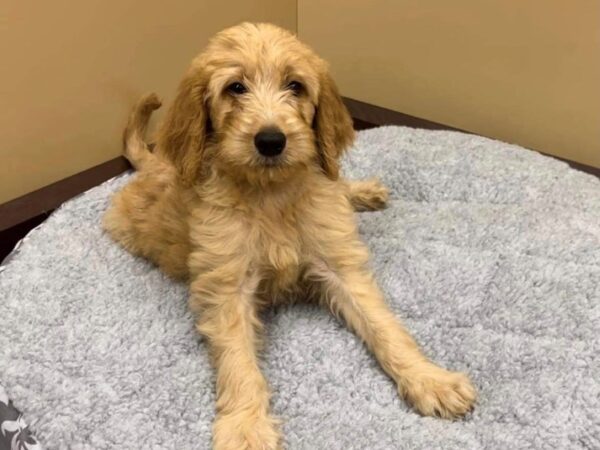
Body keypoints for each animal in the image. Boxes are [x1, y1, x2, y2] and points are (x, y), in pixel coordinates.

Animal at [104, 22, 478, 450]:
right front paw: (245, 428)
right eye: (235, 87)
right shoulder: (227, 286)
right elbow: (239, 361)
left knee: (338, 184)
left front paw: (430, 379)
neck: (271, 194)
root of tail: (154, 164)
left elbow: (384, 326)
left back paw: (362, 191)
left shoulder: (340, 265)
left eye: (295, 86)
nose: (271, 140)